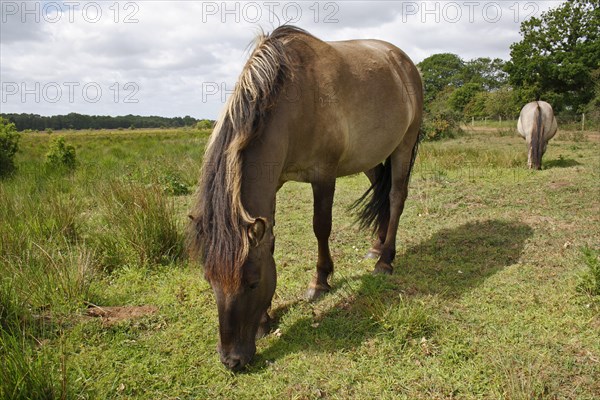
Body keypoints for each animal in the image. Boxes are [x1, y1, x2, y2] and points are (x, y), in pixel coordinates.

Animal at [186, 25, 422, 372]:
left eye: (253, 282)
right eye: (209, 280)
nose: (232, 361)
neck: (291, 102)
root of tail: (402, 60)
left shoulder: (323, 175)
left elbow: (320, 227)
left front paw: (320, 282)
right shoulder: (274, 183)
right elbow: (269, 240)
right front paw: (265, 319)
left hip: (404, 145)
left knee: (395, 196)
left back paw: (385, 260)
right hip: (371, 155)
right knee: (381, 188)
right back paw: (376, 247)